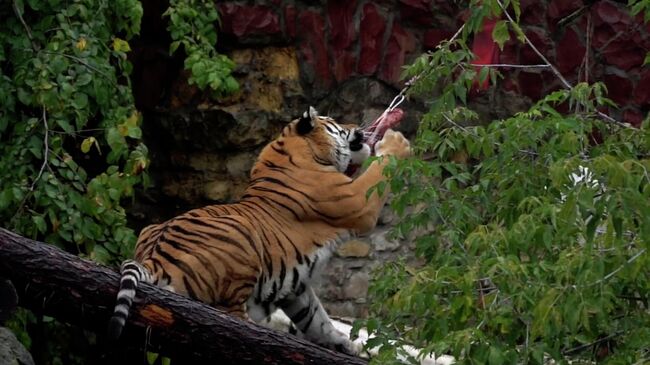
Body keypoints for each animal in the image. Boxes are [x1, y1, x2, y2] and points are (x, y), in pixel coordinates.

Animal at [107, 106, 410, 354]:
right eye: (336, 122)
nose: (358, 127)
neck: (297, 148)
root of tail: (154, 260)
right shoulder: (360, 202)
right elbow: (379, 171)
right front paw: (396, 142)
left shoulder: (295, 288)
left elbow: (317, 320)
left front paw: (345, 344)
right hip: (241, 244)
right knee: (227, 318)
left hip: (151, 228)